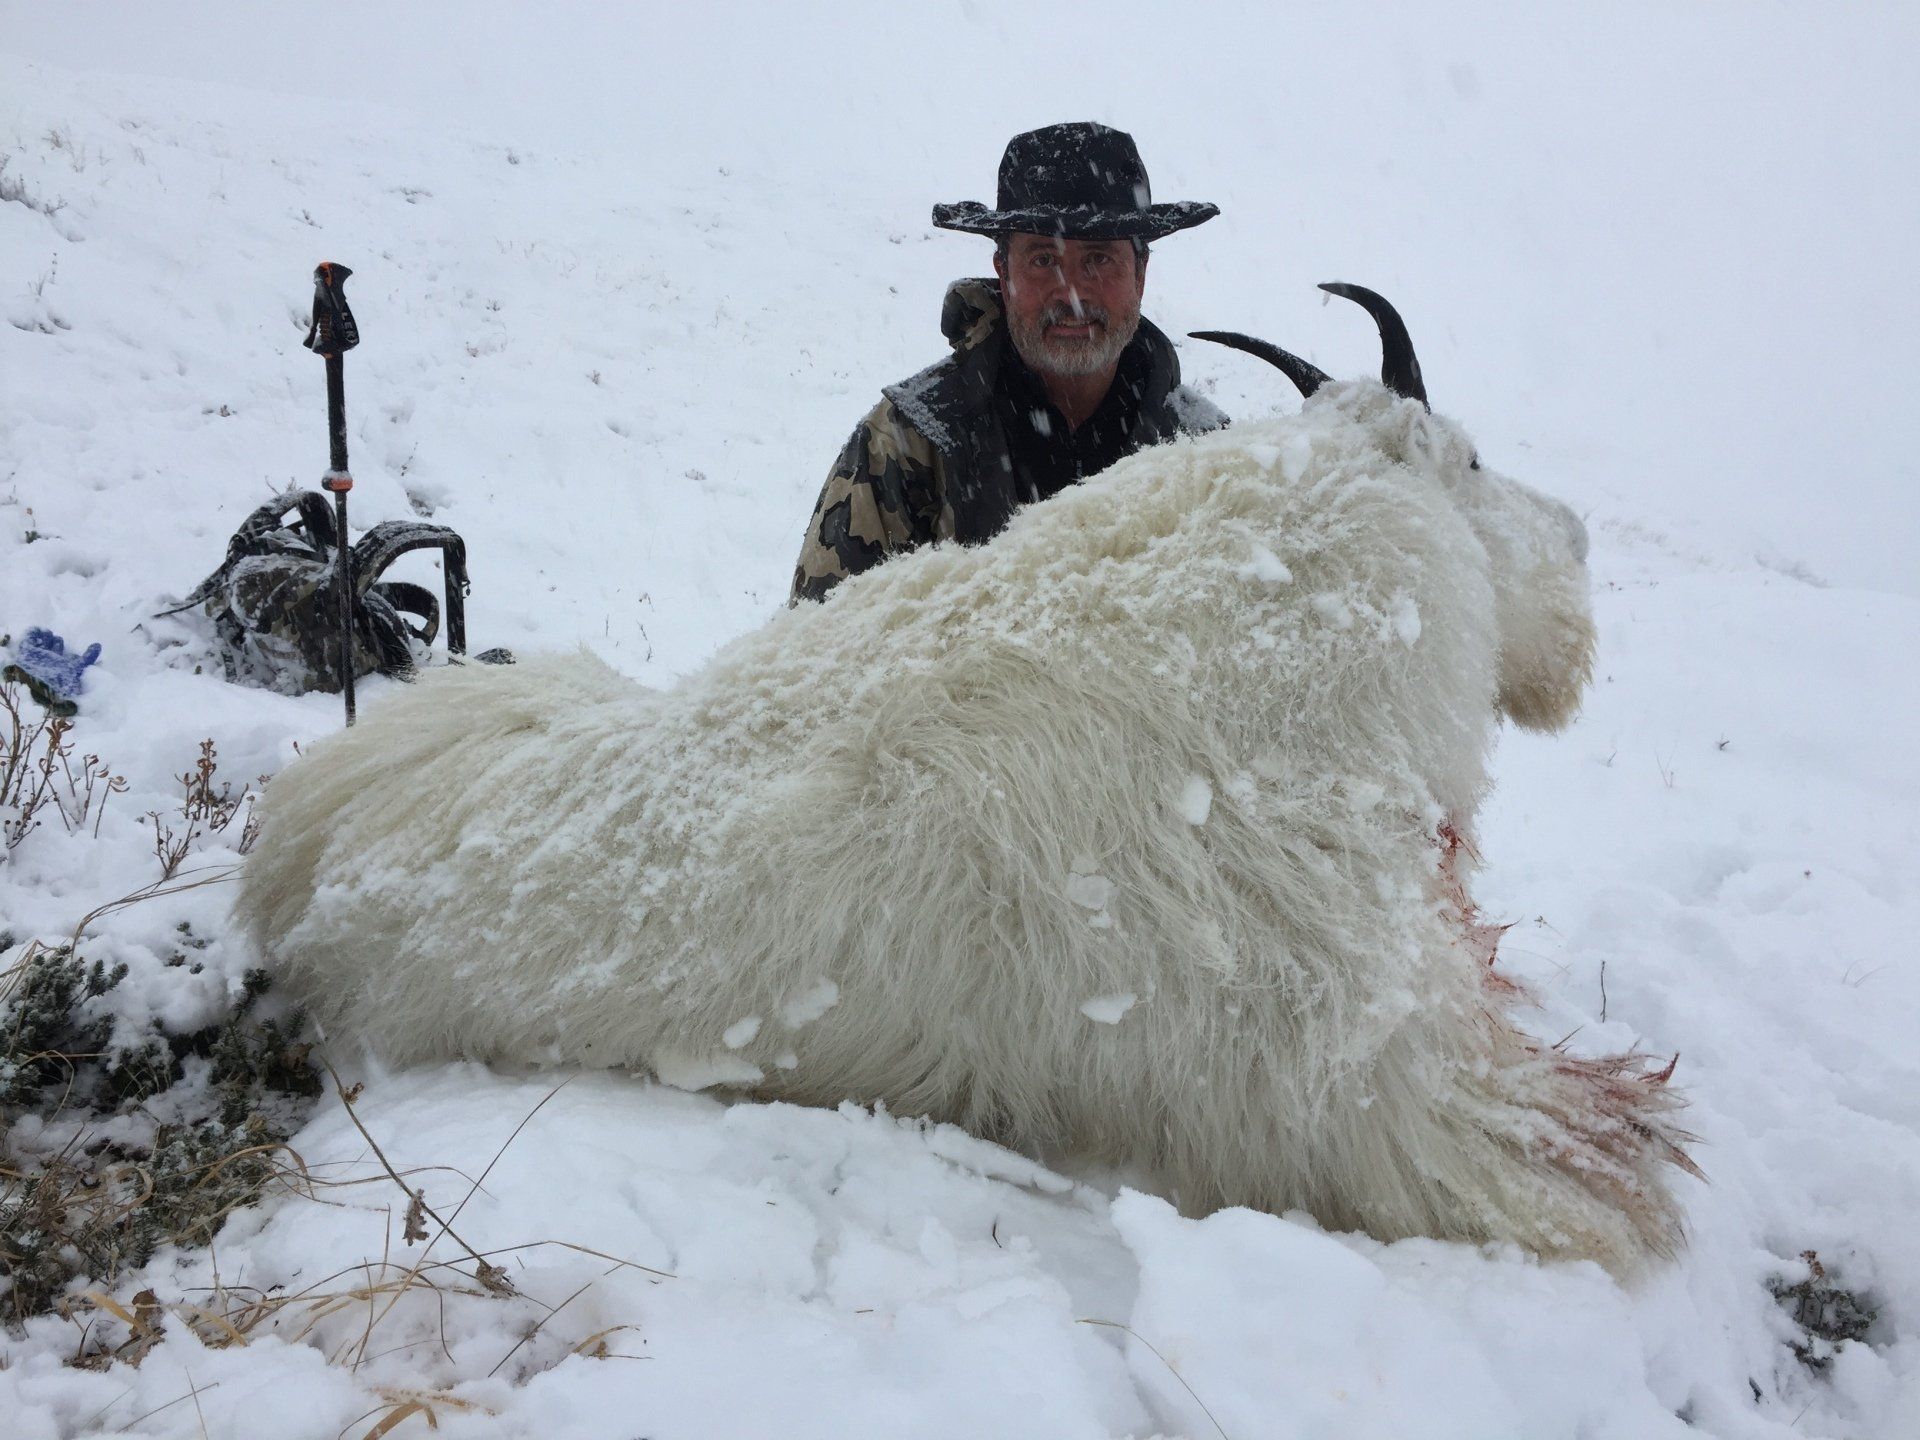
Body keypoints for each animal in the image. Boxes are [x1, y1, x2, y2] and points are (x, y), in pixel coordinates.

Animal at [239, 285, 1696, 1274]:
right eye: (1468, 458)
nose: (1576, 545)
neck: (1277, 624)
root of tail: (292, 860)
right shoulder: (1360, 1086)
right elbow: (1564, 1163)